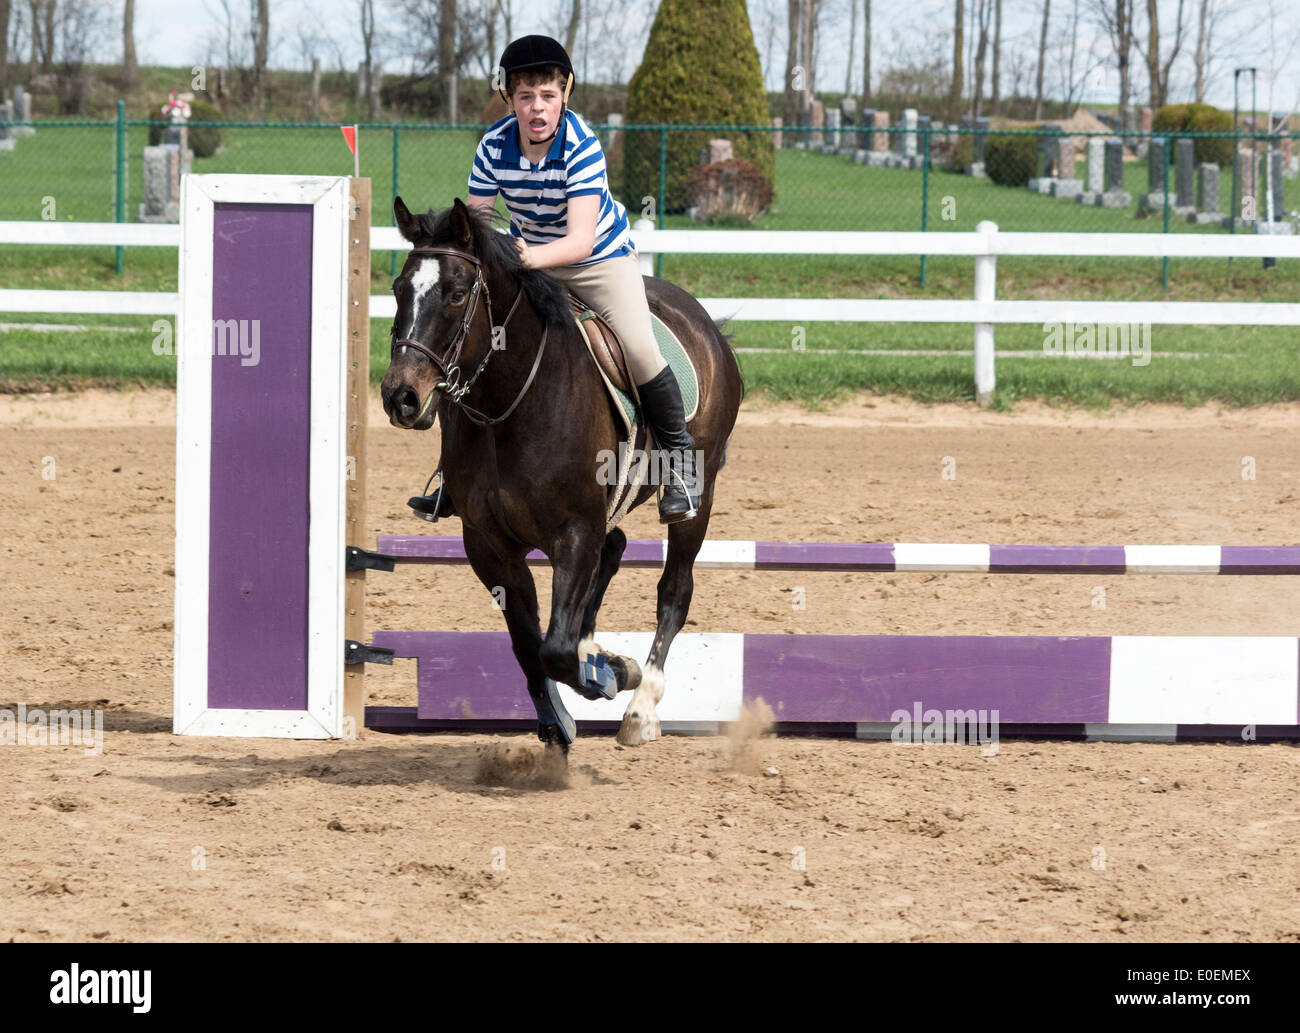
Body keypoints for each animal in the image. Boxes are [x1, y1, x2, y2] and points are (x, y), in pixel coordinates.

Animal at [379, 197, 743, 753]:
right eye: (399, 289)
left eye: (458, 294)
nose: (401, 398)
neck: (509, 404)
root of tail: (705, 323)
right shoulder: (488, 543)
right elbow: (530, 644)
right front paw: (558, 717)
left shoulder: (573, 532)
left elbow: (554, 648)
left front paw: (613, 674)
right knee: (613, 551)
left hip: (695, 498)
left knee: (674, 590)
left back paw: (641, 708)